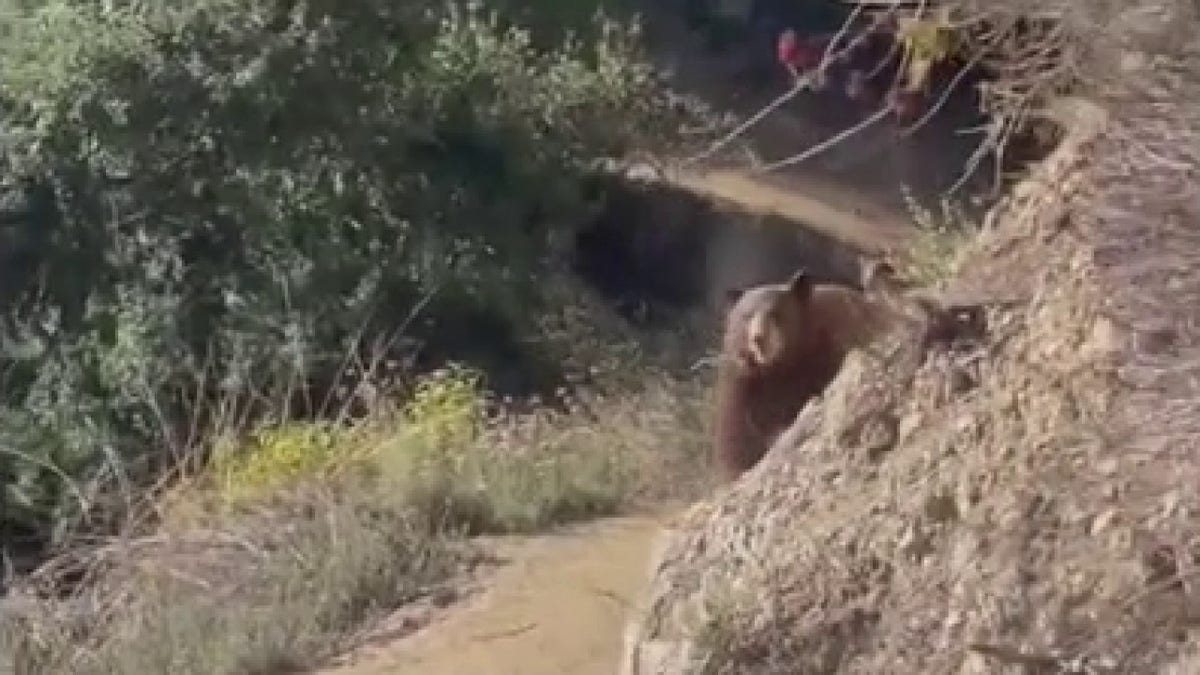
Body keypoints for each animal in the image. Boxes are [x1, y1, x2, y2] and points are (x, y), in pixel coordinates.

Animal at [710, 267, 892, 478]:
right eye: (746, 316)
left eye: (775, 313)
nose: (758, 338)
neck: (781, 364)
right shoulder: (742, 383)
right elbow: (735, 437)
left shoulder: (826, 351)